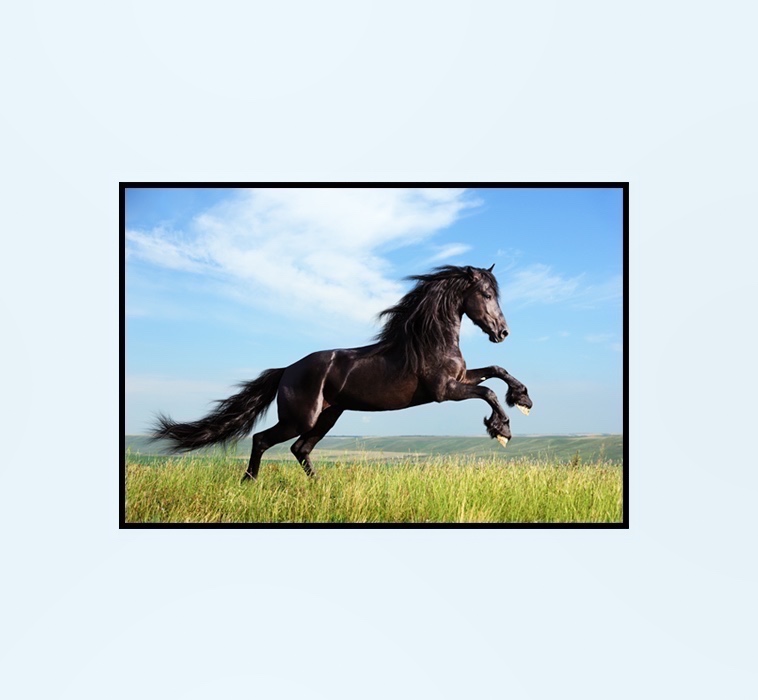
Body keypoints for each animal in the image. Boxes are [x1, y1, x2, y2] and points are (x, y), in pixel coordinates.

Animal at [152, 264, 533, 480]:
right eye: (485, 293)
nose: (502, 332)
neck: (429, 341)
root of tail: (286, 370)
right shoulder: (444, 391)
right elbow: (487, 391)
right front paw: (501, 429)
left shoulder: (460, 379)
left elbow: (496, 370)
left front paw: (523, 399)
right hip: (300, 418)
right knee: (263, 440)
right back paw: (249, 482)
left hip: (328, 416)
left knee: (300, 449)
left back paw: (319, 488)